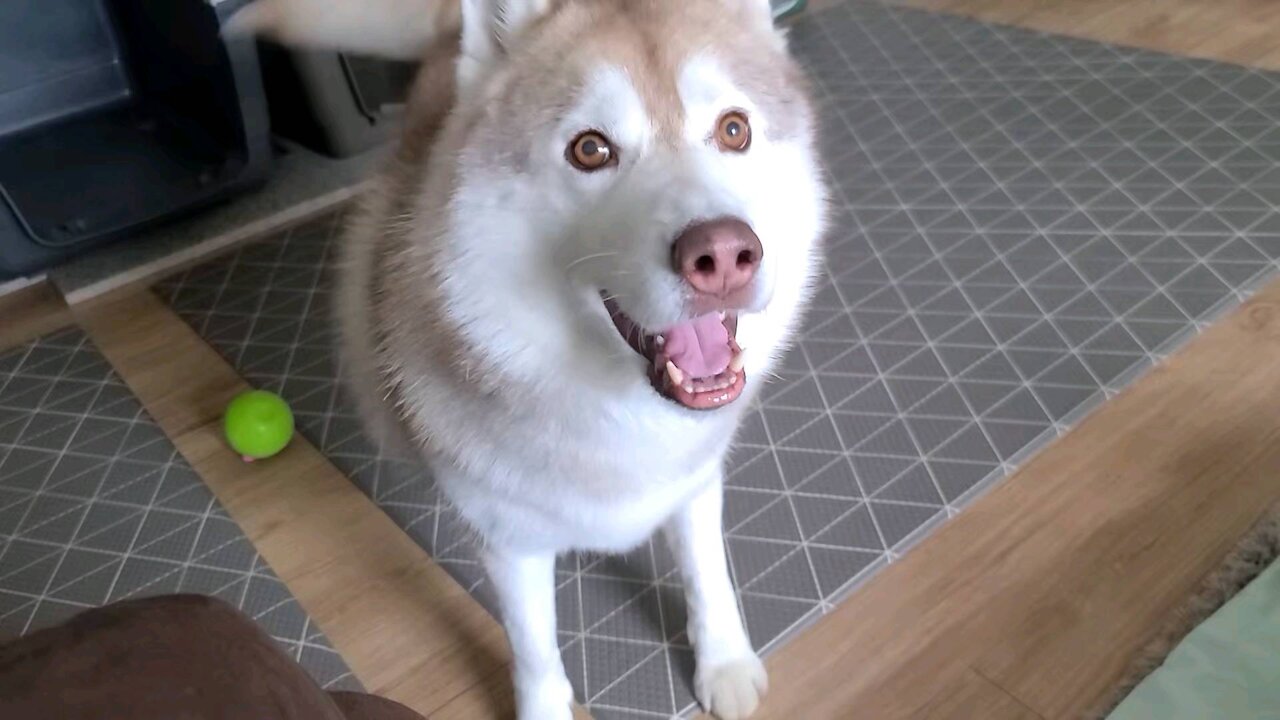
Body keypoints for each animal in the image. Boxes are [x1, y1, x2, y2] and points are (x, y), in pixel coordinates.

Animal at [234, 1, 824, 712]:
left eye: (734, 130)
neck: (615, 407)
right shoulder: (509, 542)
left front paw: (724, 662)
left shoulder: (697, 482)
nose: (723, 254)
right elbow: (534, 647)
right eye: (590, 149)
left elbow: (708, 574)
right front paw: (544, 706)